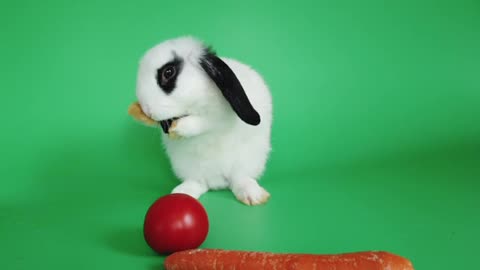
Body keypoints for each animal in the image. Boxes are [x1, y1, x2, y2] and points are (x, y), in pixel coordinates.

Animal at [133, 35, 272, 205]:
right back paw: (181, 193)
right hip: (189, 167)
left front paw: (179, 128)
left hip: (248, 161)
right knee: (199, 182)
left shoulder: (217, 116)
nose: (146, 109)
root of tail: (218, 181)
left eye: (168, 72)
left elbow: (204, 122)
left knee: (240, 179)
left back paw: (253, 196)